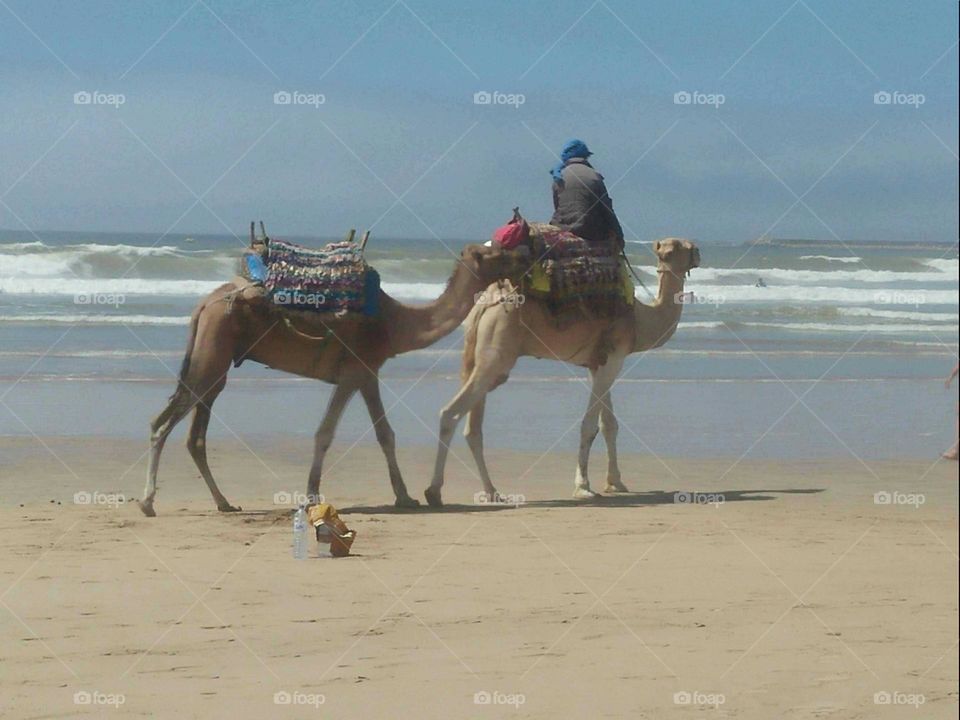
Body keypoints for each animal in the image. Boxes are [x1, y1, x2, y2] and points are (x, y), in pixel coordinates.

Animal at [140, 243, 528, 516]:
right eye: (493, 253)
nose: (521, 255)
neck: (394, 324)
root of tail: (203, 306)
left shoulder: (368, 373)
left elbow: (385, 435)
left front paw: (405, 496)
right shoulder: (354, 372)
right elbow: (326, 433)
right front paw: (313, 495)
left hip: (215, 366)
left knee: (194, 435)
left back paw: (224, 502)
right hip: (211, 358)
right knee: (163, 423)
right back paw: (148, 502)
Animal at [424, 238, 700, 506]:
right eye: (686, 247)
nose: (698, 254)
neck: (640, 320)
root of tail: (486, 302)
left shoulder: (598, 364)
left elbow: (609, 424)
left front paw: (615, 483)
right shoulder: (613, 358)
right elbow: (589, 425)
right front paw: (583, 487)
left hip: (477, 353)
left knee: (473, 428)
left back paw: (491, 491)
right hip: (496, 352)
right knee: (451, 413)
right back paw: (434, 491)